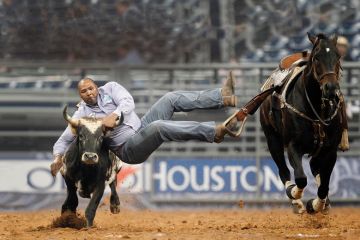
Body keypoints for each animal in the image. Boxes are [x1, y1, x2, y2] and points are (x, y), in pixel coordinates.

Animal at [258, 32, 344, 214]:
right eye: (316, 57)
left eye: (338, 56)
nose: (331, 88)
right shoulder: (293, 146)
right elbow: (301, 179)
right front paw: (296, 195)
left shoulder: (330, 150)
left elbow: (324, 185)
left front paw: (317, 204)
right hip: (273, 140)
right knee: (283, 170)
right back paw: (296, 201)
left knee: (314, 167)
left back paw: (324, 203)